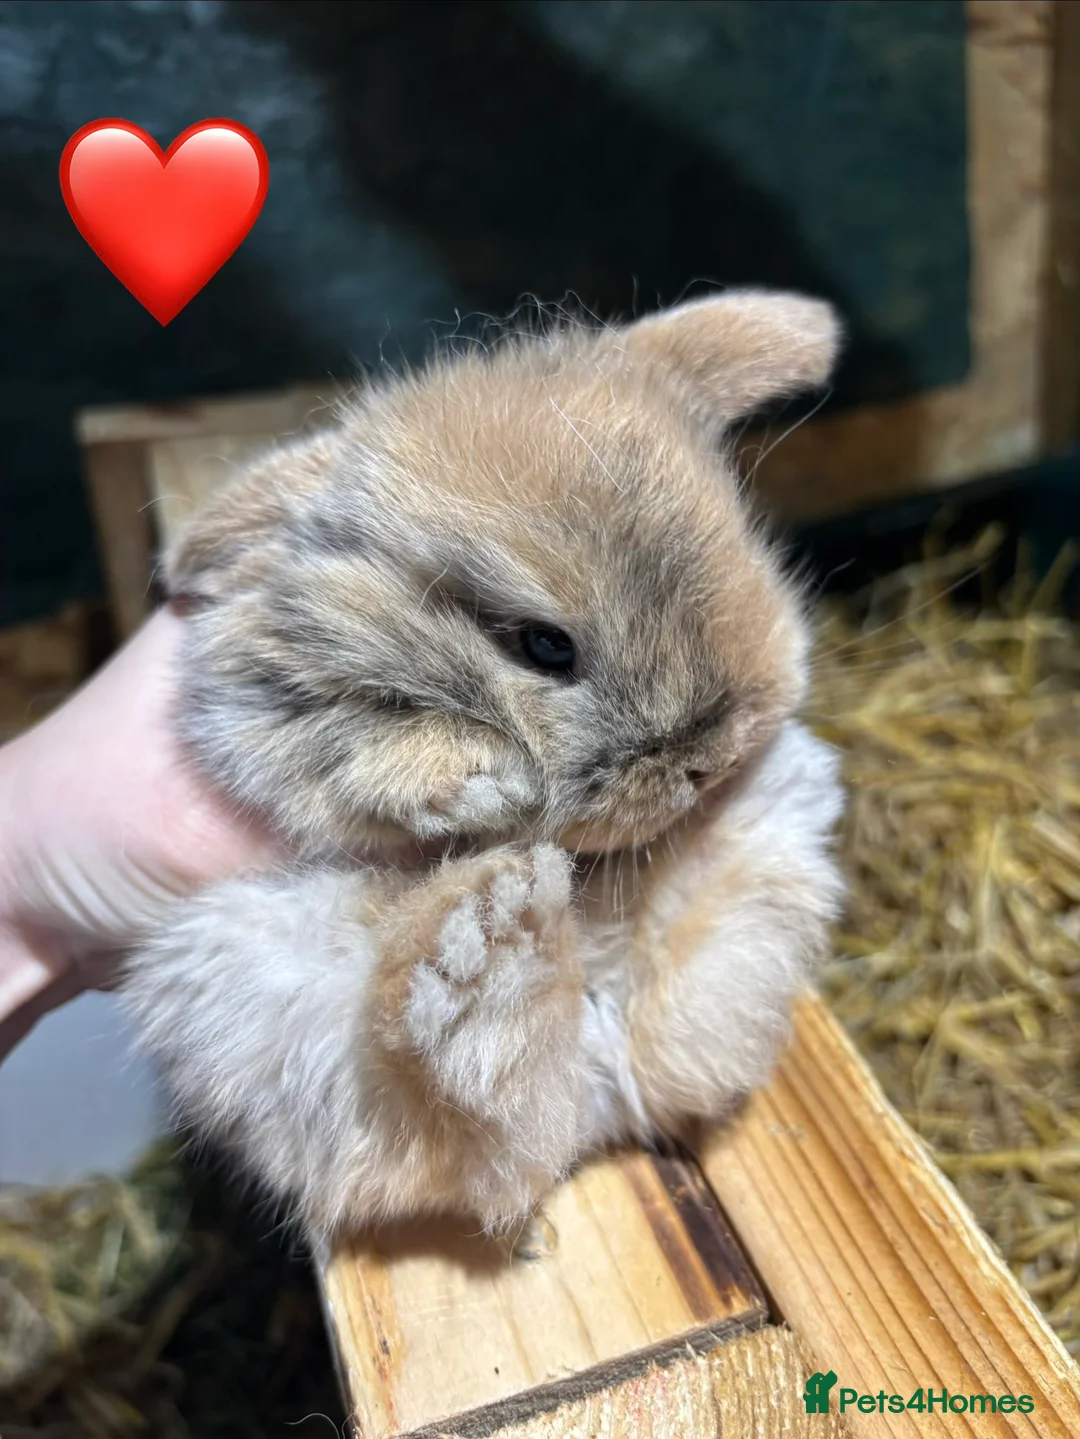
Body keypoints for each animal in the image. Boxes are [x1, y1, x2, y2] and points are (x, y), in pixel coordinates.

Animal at [122, 290, 847, 1236]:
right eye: (544, 644)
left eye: (738, 539)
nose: (710, 763)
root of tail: (605, 1083)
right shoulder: (267, 711)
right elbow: (360, 746)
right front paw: (480, 782)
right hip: (257, 1006)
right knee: (446, 1106)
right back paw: (489, 931)